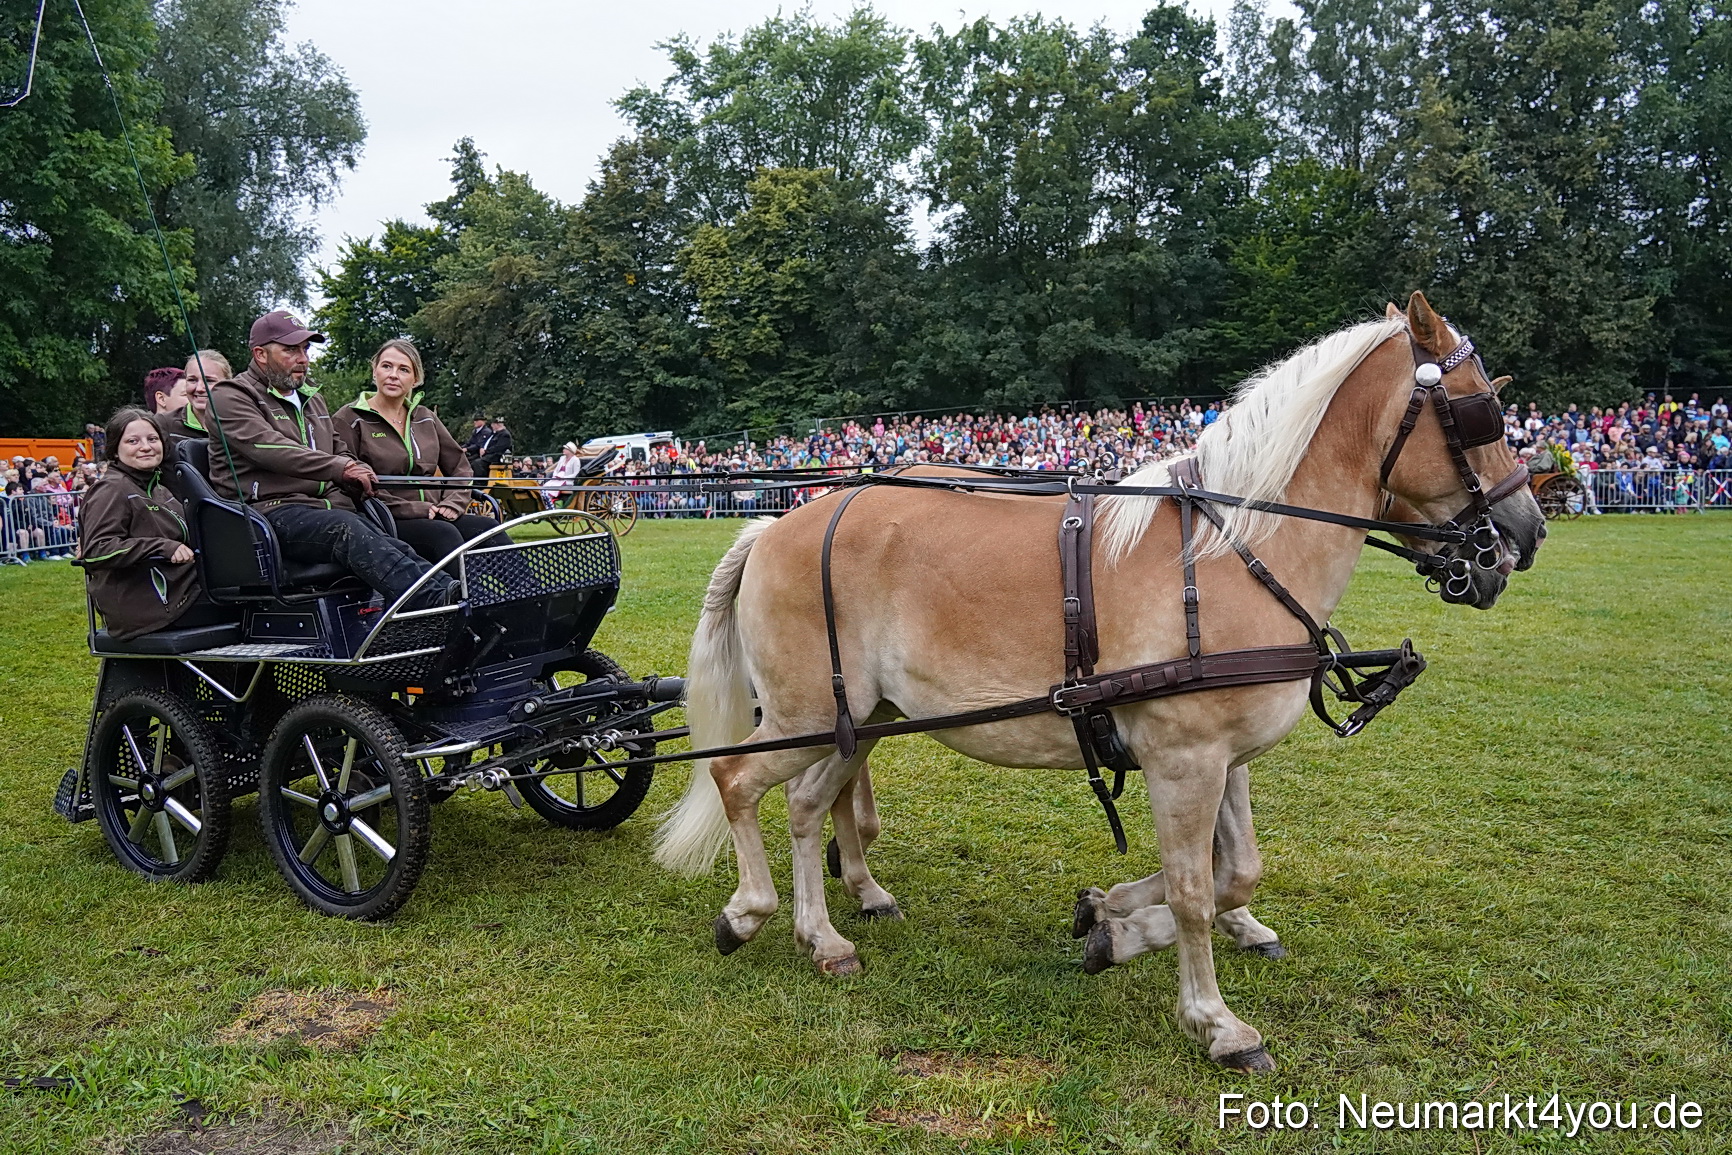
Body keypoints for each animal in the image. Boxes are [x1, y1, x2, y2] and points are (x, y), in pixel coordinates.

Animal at [653, 292, 1546, 1071]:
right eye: (1482, 414)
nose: (1523, 534)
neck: (1236, 550)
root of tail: (776, 523)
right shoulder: (1184, 758)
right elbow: (1194, 890)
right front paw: (1215, 1020)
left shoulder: (1225, 757)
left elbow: (1237, 871)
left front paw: (1109, 915)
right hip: (805, 710)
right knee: (737, 779)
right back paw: (750, 912)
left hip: (857, 715)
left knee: (807, 805)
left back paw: (828, 933)